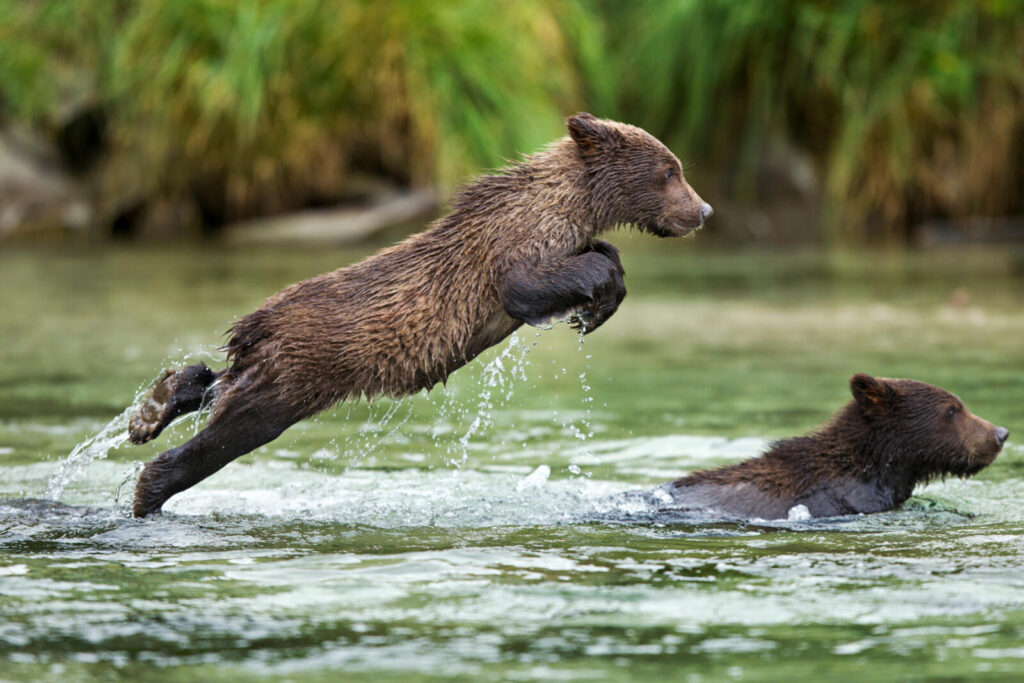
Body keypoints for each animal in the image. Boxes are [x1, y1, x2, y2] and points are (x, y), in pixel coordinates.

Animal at [127, 113, 714, 517]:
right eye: (671, 170)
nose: (704, 210)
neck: (571, 204)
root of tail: (255, 325)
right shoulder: (510, 244)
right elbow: (524, 287)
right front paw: (597, 291)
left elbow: (597, 255)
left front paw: (596, 305)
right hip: (298, 368)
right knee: (234, 429)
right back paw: (150, 489)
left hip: (278, 365)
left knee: (217, 386)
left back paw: (153, 407)